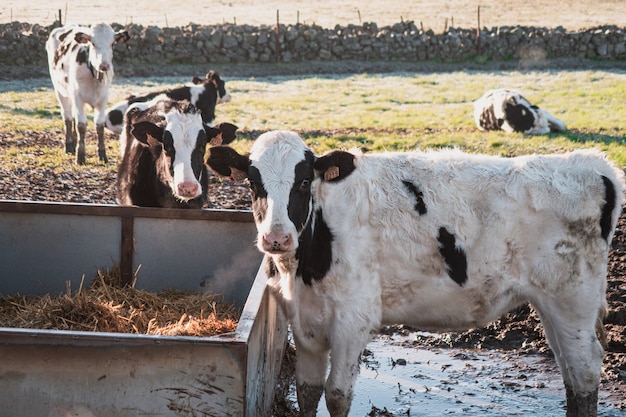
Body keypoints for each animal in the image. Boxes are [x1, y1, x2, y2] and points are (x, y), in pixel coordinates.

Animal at [45, 22, 129, 163]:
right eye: (92, 43)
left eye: (112, 44)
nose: (104, 65)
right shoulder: (77, 96)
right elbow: (81, 126)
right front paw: (80, 156)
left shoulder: (103, 98)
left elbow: (99, 125)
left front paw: (102, 154)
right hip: (60, 91)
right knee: (68, 117)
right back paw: (69, 146)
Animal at [207, 130, 620, 416]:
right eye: (253, 182)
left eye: (305, 181)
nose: (276, 238)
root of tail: (593, 165)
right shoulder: (305, 322)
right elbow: (307, 392)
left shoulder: (354, 319)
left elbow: (337, 395)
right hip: (552, 307)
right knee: (569, 371)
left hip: (572, 301)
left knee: (585, 371)